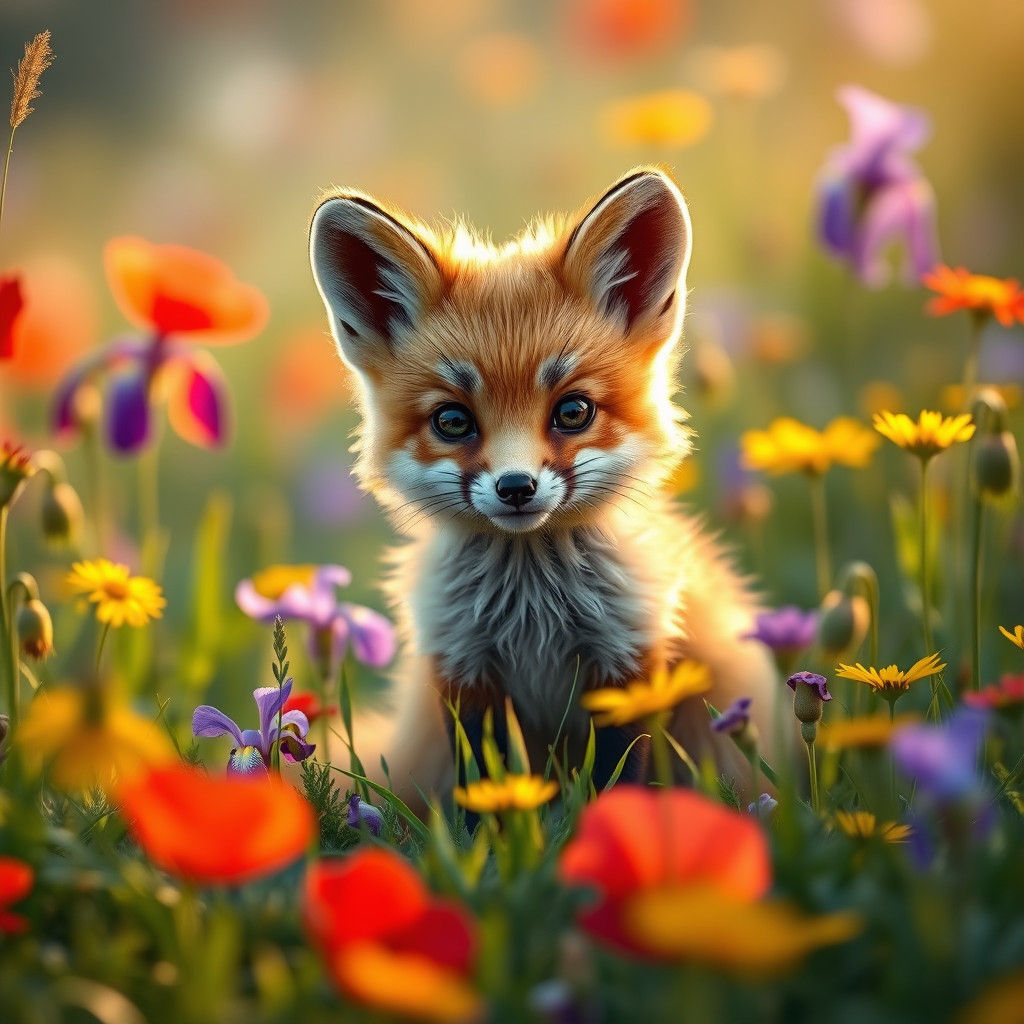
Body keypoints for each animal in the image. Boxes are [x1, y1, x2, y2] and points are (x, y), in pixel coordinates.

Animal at [308, 167, 781, 812]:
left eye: (573, 411)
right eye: (452, 421)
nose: (516, 487)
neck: (534, 616)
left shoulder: (628, 661)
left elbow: (615, 782)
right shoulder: (464, 670)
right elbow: (484, 796)